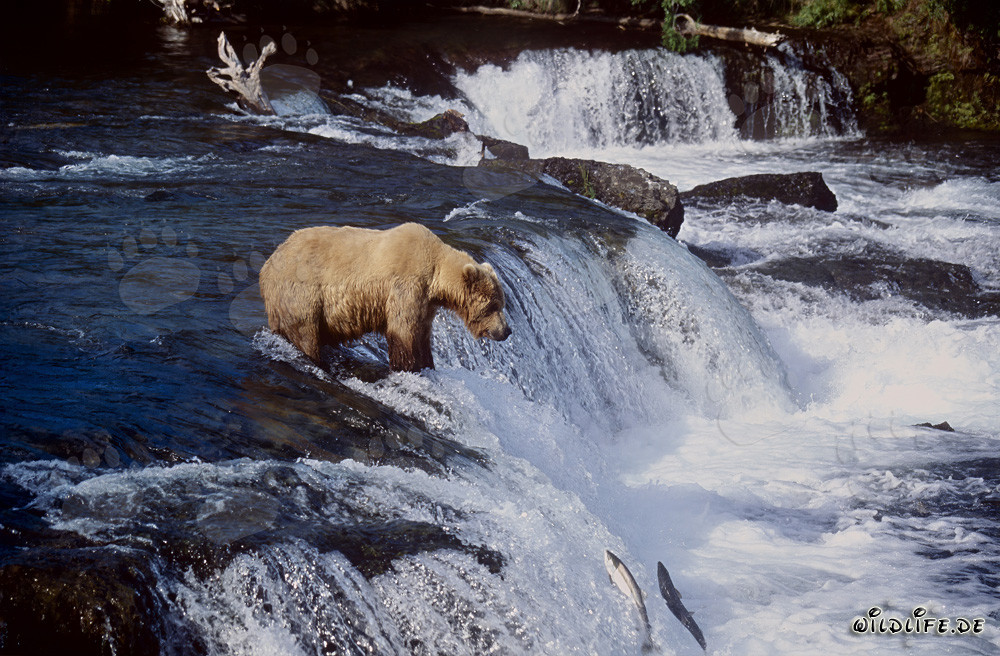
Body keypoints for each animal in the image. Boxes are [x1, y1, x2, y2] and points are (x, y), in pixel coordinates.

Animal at [258, 222, 511, 372]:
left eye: (501, 303)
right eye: (493, 306)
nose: (507, 331)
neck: (435, 277)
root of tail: (268, 262)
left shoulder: (426, 303)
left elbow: (421, 333)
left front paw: (426, 363)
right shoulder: (406, 285)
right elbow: (403, 330)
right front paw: (407, 367)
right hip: (301, 292)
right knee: (305, 333)